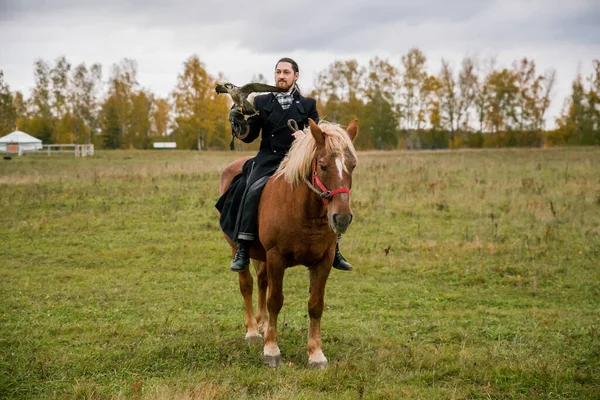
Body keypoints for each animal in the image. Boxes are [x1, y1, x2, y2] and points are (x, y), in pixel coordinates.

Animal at [218, 118, 356, 368]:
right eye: (323, 166)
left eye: (352, 166)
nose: (341, 218)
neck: (303, 210)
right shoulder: (276, 257)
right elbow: (275, 300)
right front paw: (271, 350)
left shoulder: (324, 260)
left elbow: (315, 305)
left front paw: (316, 354)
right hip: (236, 248)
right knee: (247, 285)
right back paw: (252, 331)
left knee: (262, 282)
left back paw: (262, 323)